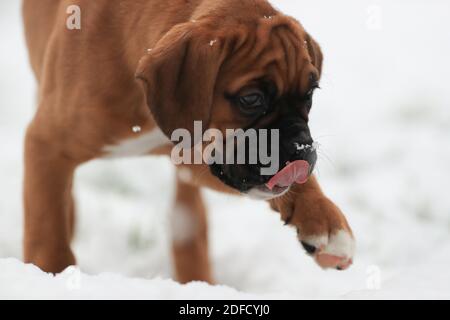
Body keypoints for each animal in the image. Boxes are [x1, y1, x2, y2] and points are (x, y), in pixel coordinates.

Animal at [22, 0, 356, 284]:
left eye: (309, 94)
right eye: (251, 99)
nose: (301, 149)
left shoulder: (199, 157)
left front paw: (323, 221)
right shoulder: (47, 144)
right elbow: (48, 229)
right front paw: (51, 275)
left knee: (188, 224)